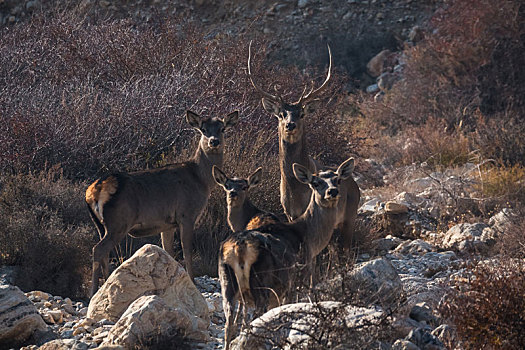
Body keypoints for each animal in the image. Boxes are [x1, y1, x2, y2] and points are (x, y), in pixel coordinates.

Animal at [86, 109, 239, 296]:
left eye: (222, 128)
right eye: (203, 129)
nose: (214, 141)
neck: (201, 180)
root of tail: (95, 191)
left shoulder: (167, 224)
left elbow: (168, 251)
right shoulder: (186, 214)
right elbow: (186, 250)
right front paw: (193, 281)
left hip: (101, 225)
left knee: (104, 252)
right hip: (119, 222)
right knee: (98, 249)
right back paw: (93, 291)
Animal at [217, 157, 356, 348]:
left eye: (338, 180)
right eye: (315, 183)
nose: (332, 191)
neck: (308, 237)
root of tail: (239, 248)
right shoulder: (298, 277)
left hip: (227, 283)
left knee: (229, 325)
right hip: (261, 282)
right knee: (252, 322)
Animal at [247, 40, 360, 249]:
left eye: (301, 114)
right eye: (281, 114)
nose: (290, 124)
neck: (296, 189)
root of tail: (355, 185)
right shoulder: (289, 212)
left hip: (350, 215)